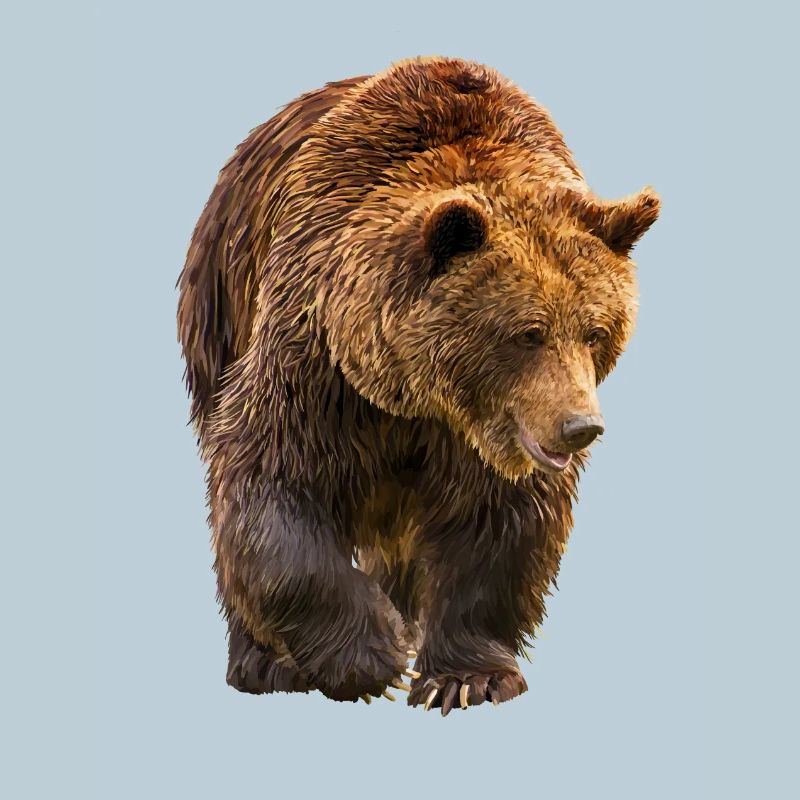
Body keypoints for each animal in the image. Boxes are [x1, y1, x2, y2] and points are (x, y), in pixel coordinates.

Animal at [177, 56, 659, 715]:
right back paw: (262, 662)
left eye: (595, 331)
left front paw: (467, 677)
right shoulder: (316, 361)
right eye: (528, 333)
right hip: (221, 302)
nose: (580, 427)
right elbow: (271, 481)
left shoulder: (488, 437)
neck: (417, 394)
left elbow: (500, 522)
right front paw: (370, 659)